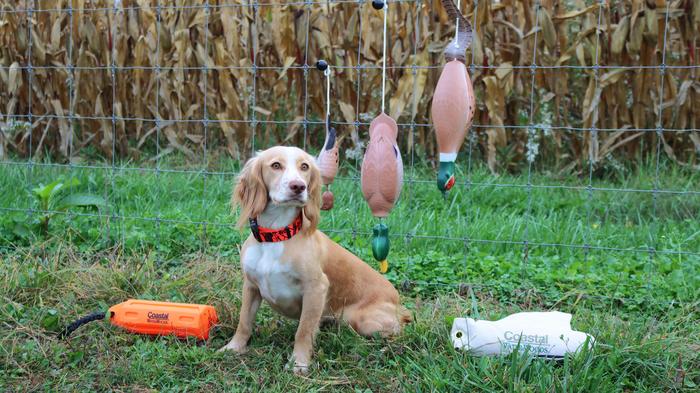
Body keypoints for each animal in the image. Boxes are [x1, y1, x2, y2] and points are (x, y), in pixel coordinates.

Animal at [220, 145, 410, 372]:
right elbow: (244, 321)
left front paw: (299, 363)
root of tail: (398, 303)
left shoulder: (316, 289)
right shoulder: (250, 286)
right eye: (276, 165)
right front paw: (233, 348)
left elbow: (304, 331)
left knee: (398, 331)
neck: (276, 236)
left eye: (304, 167)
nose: (298, 186)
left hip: (362, 320)